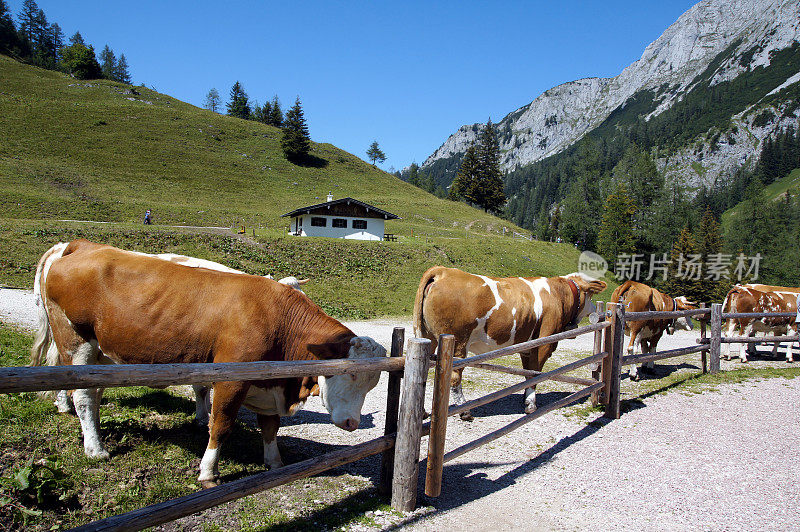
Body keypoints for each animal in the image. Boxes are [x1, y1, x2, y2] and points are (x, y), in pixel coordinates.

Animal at [32, 240, 390, 486]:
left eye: (373, 382)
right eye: (347, 374)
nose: (352, 423)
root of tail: (81, 245)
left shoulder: (269, 382)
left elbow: (270, 427)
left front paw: (274, 463)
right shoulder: (232, 380)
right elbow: (221, 426)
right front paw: (208, 472)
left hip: (102, 354)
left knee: (94, 394)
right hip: (75, 342)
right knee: (82, 395)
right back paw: (94, 446)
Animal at [412, 266, 608, 416]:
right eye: (590, 295)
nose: (593, 308)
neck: (558, 295)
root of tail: (443, 271)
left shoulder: (527, 346)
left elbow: (528, 372)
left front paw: (526, 398)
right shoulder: (544, 342)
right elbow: (535, 373)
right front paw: (531, 404)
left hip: (428, 337)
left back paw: (423, 412)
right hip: (458, 343)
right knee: (454, 377)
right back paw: (464, 410)